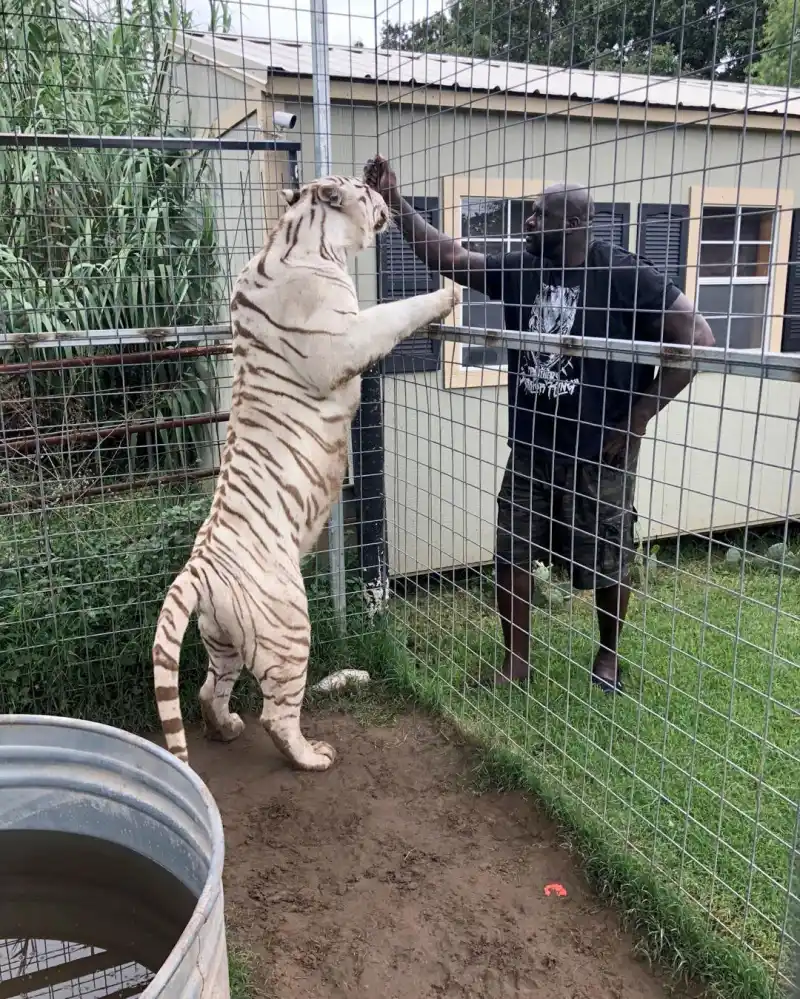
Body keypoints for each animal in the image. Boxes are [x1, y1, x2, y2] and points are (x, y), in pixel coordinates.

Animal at [152, 175, 458, 771]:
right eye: (366, 191)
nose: (384, 196)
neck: (300, 237)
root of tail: (199, 567)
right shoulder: (348, 335)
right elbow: (398, 310)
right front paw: (450, 292)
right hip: (288, 627)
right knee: (277, 714)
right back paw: (312, 756)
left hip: (222, 638)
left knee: (207, 689)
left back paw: (226, 729)